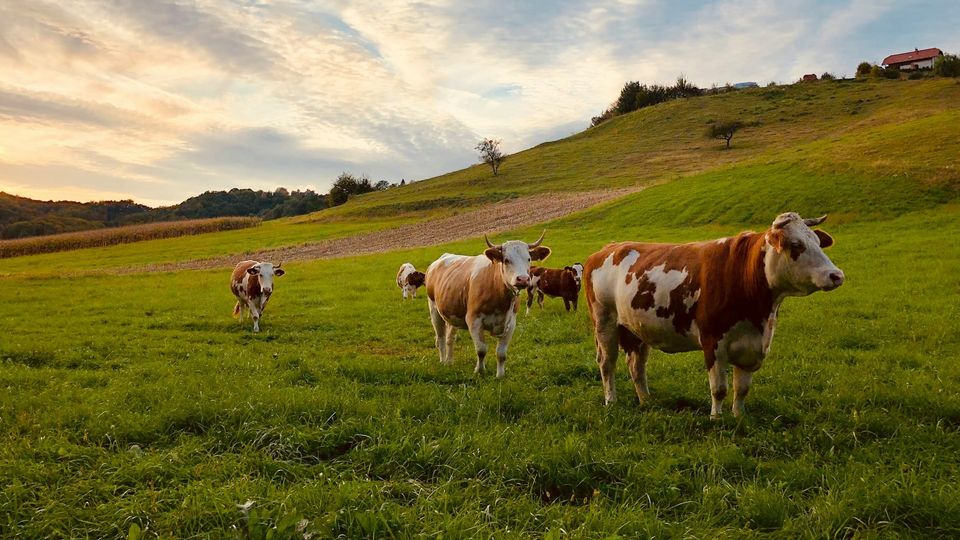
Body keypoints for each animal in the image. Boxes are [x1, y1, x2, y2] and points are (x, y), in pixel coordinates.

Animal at [425, 232, 551, 377]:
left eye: (529, 259)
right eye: (506, 260)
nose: (523, 279)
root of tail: (442, 258)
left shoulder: (511, 323)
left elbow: (501, 353)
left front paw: (500, 375)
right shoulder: (473, 320)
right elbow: (481, 350)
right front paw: (479, 371)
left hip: (452, 313)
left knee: (450, 338)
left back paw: (449, 361)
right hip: (434, 309)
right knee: (440, 338)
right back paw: (442, 361)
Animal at [584, 213, 844, 418]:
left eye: (818, 242)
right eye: (796, 244)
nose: (836, 275)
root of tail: (607, 249)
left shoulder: (753, 346)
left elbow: (742, 389)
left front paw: (738, 417)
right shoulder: (713, 342)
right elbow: (719, 388)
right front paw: (716, 419)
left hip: (636, 327)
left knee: (636, 366)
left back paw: (646, 401)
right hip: (604, 321)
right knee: (607, 363)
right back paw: (611, 401)